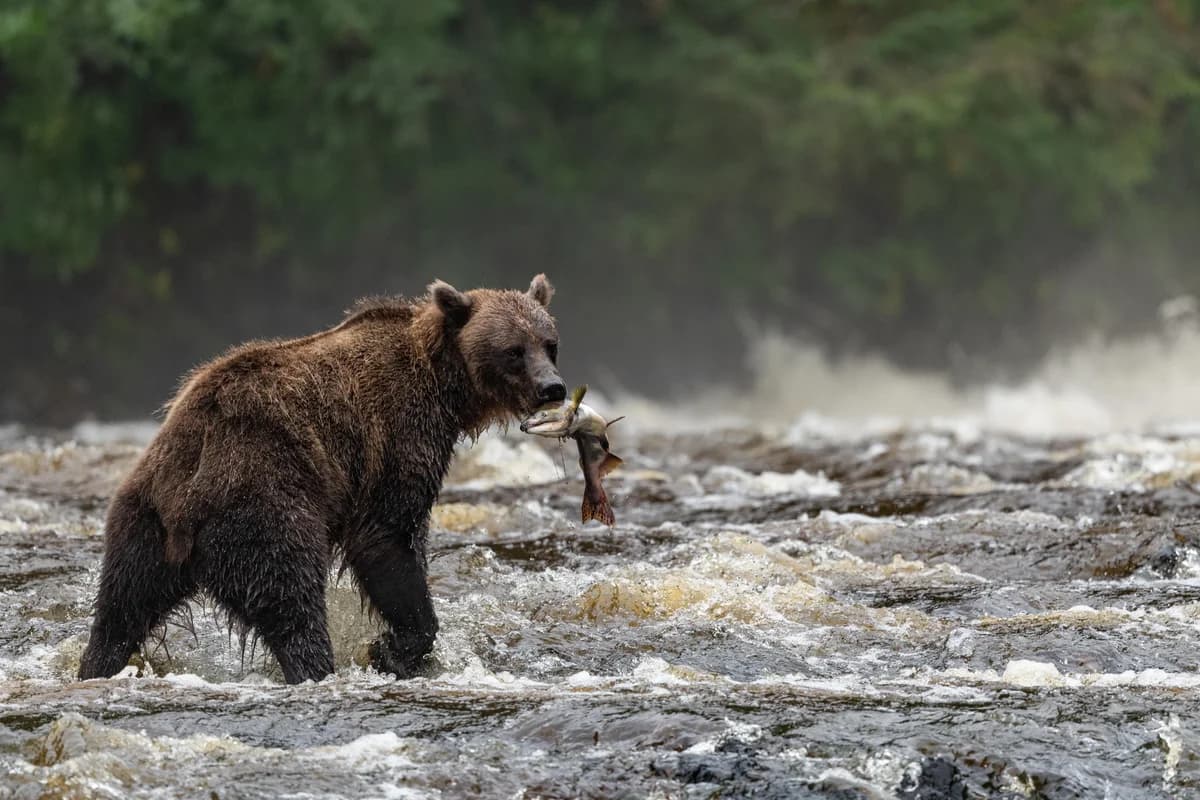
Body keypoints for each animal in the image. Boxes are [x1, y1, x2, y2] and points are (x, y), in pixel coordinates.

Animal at [77, 275, 564, 684]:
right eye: (514, 350)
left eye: (549, 343)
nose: (553, 388)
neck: (447, 388)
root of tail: (183, 494)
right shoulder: (399, 434)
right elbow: (387, 537)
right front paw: (392, 647)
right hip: (261, 500)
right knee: (292, 601)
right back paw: (316, 668)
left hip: (141, 521)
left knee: (121, 609)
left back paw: (95, 667)